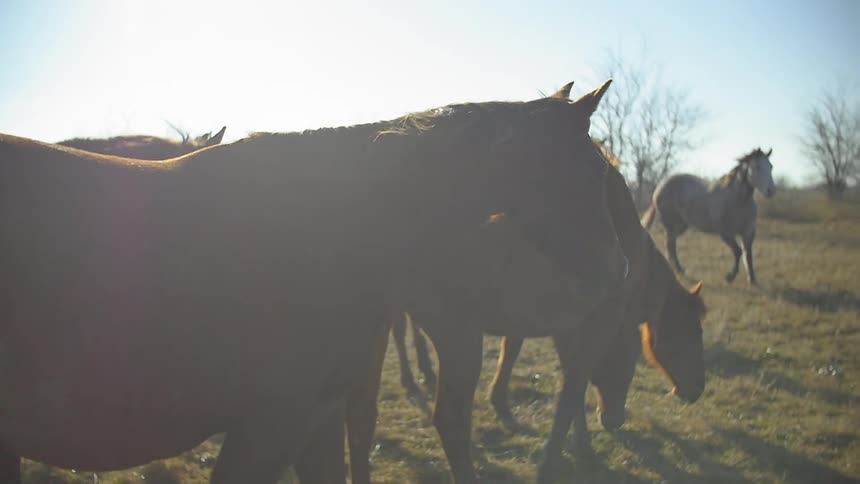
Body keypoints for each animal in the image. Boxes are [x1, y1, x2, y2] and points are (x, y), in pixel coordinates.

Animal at [641, 148, 775, 284]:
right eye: (757, 166)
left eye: (770, 166)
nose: (771, 191)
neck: (739, 201)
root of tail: (660, 186)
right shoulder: (726, 233)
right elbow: (738, 252)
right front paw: (730, 277)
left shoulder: (748, 233)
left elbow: (748, 255)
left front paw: (752, 280)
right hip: (670, 224)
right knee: (670, 245)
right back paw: (679, 270)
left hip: (680, 226)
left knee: (671, 245)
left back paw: (677, 270)